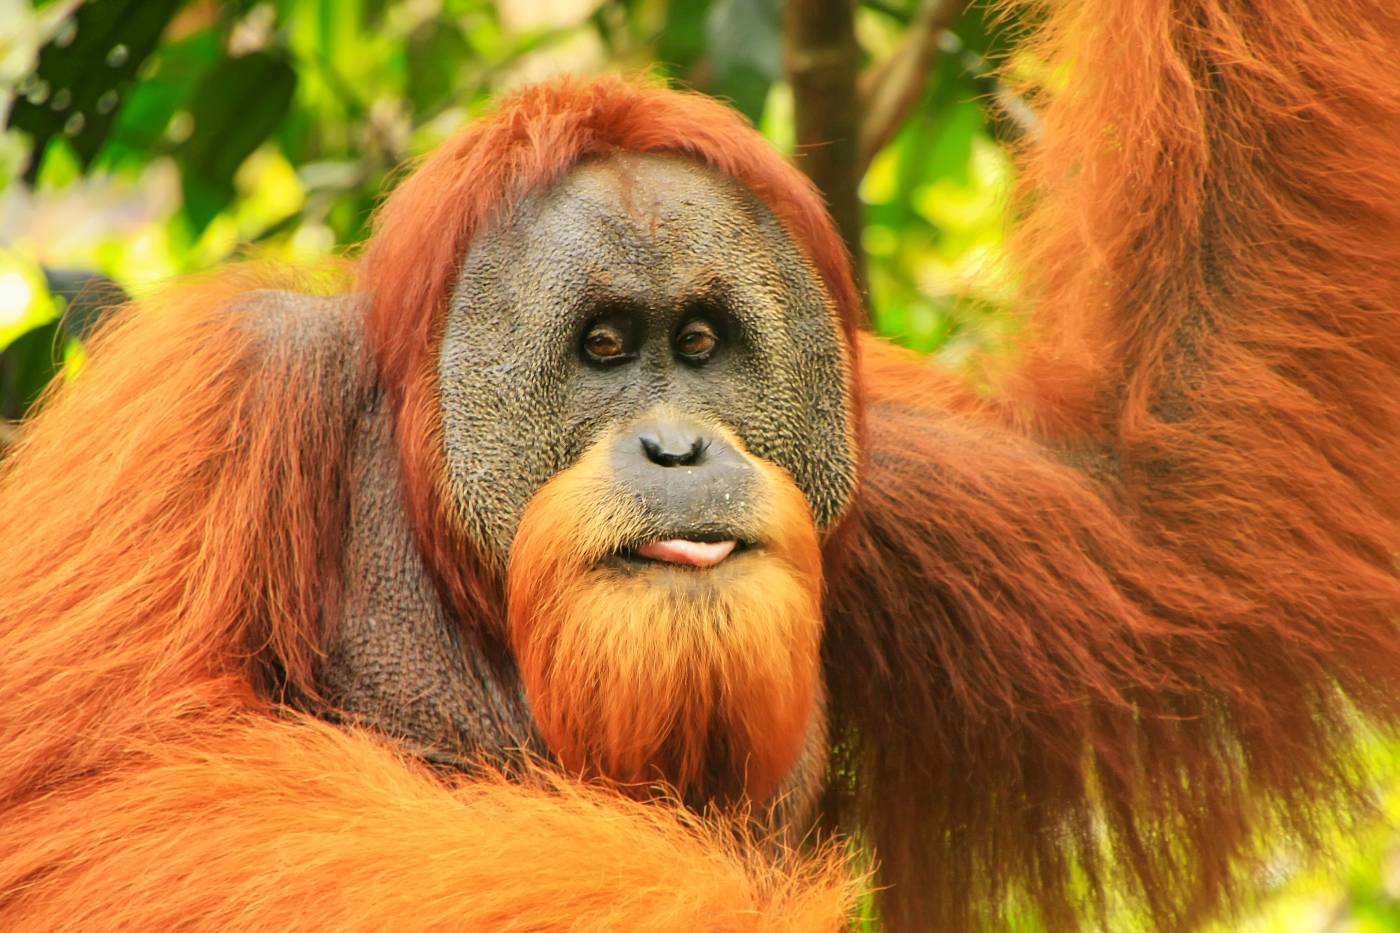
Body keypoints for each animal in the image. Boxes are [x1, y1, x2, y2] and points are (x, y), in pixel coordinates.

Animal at [1, 0, 1398, 929]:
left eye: (701, 344)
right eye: (603, 347)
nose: (677, 444)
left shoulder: (893, 472)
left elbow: (1178, 501)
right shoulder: (210, 410)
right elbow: (75, 813)